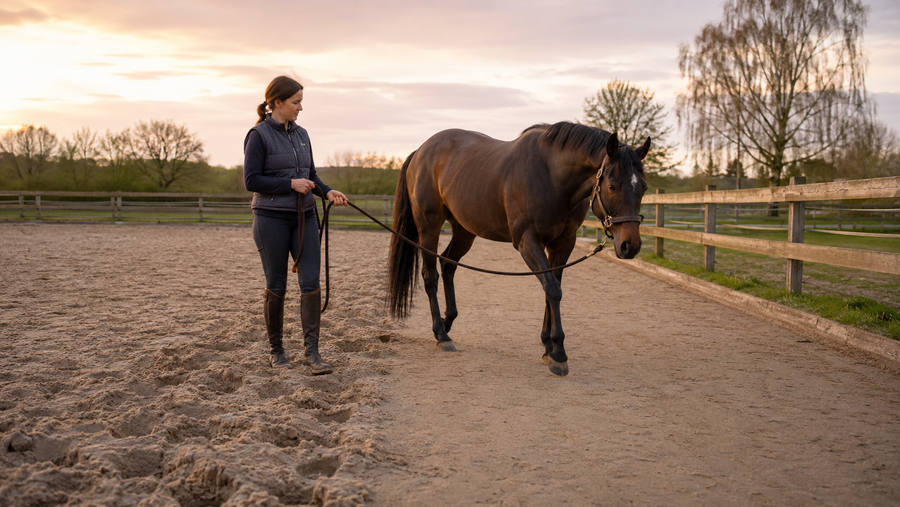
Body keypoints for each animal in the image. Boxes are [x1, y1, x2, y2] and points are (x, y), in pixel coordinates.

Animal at [387, 122, 650, 376]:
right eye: (613, 186)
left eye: (644, 188)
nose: (631, 246)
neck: (552, 176)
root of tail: (420, 151)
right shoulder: (527, 242)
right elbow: (553, 290)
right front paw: (558, 354)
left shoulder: (563, 245)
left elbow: (552, 288)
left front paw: (547, 345)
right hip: (428, 228)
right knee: (430, 276)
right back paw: (441, 334)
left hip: (464, 230)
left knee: (448, 264)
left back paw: (448, 322)